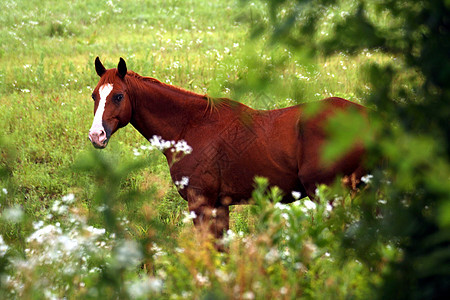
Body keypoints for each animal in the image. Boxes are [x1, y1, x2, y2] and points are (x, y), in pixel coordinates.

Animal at [88, 57, 366, 243]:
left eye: (119, 96)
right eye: (94, 96)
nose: (96, 135)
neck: (190, 126)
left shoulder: (201, 203)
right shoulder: (220, 206)